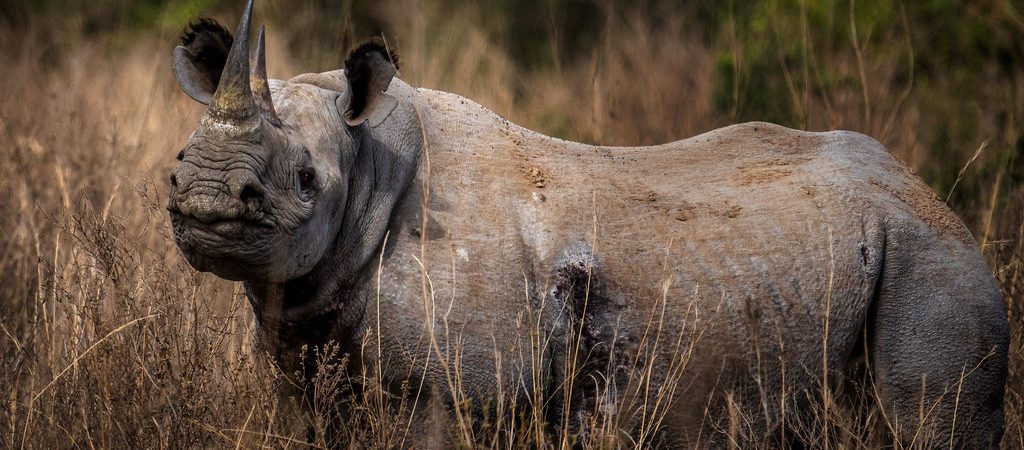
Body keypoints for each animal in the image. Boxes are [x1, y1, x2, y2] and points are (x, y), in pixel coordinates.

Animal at [168, 1, 1008, 447]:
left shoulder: (449, 394)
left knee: (932, 421)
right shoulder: (313, 362)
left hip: (930, 263)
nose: (203, 201)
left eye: (308, 180)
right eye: (178, 160)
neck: (370, 160)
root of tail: (926, 192)